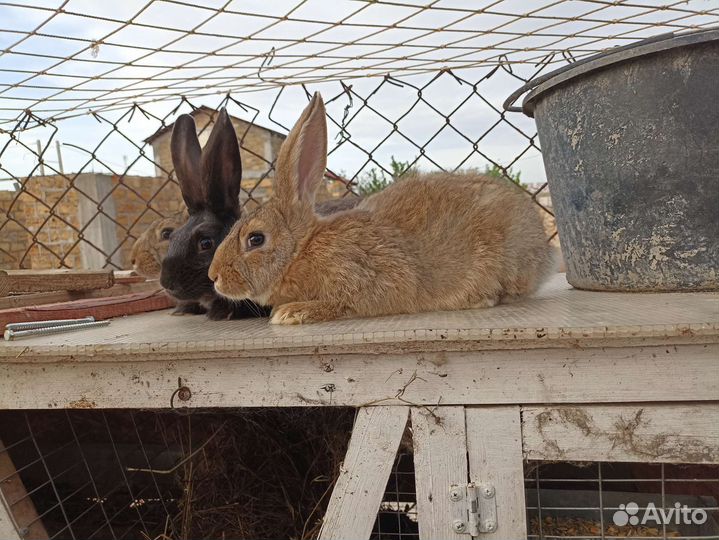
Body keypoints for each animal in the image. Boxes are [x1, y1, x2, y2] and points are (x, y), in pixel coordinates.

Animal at [208, 92, 556, 325]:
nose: (214, 276)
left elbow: (343, 303)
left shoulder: (365, 280)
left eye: (255, 239)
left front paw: (294, 312)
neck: (301, 250)